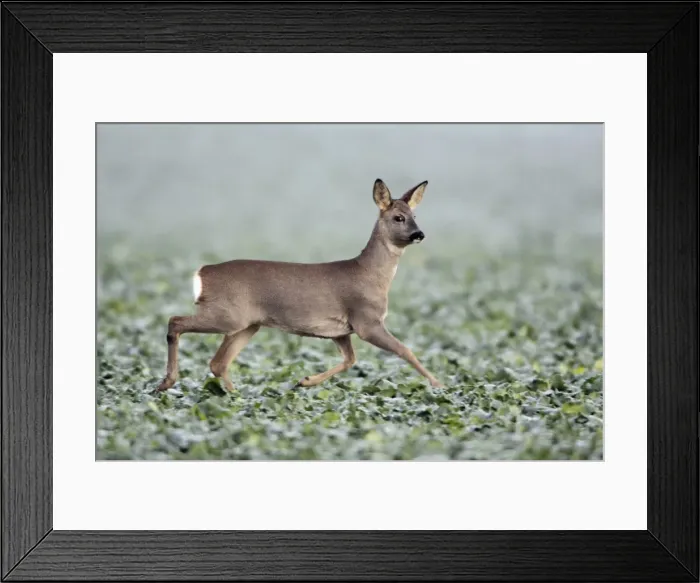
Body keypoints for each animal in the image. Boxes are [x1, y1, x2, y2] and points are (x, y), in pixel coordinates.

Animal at [156, 178, 444, 393]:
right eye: (398, 218)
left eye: (414, 215)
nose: (419, 234)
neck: (370, 275)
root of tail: (202, 272)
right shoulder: (366, 321)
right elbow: (405, 350)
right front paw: (439, 385)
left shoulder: (341, 331)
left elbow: (350, 360)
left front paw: (303, 381)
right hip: (227, 316)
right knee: (175, 322)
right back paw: (167, 382)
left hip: (248, 324)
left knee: (218, 362)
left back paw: (235, 396)